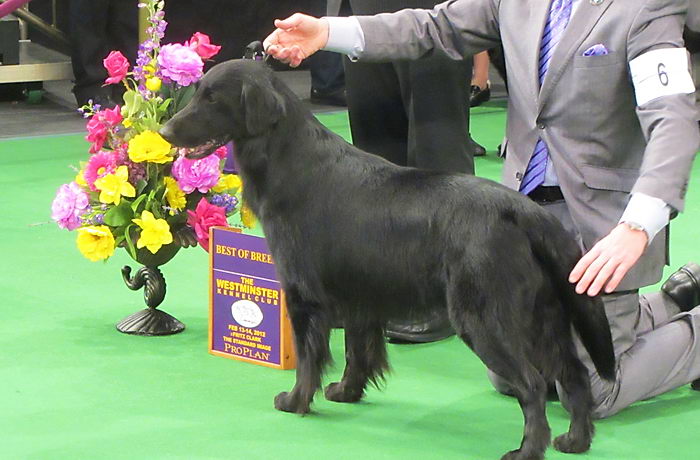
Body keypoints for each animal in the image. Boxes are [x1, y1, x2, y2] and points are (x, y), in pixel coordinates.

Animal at [159, 60, 612, 460]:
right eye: (198, 91)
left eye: (213, 98)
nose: (164, 131)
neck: (288, 160)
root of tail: (521, 210)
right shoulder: (360, 296)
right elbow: (358, 352)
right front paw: (346, 393)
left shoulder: (303, 294)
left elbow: (308, 359)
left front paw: (296, 401)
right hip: (544, 316)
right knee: (573, 374)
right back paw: (575, 441)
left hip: (484, 319)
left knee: (533, 385)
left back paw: (527, 450)